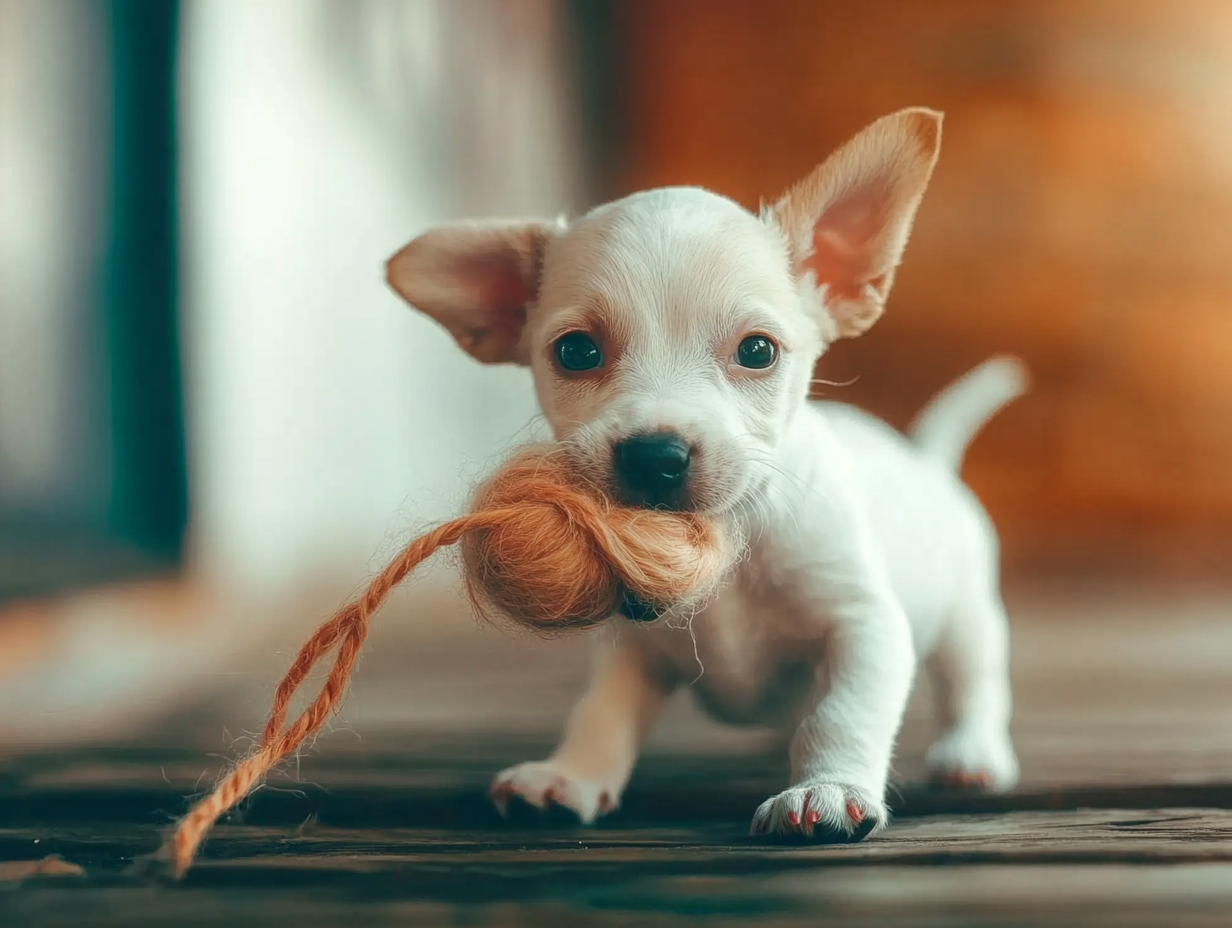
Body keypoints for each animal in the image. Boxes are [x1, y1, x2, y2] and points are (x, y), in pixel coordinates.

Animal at [389, 108, 1025, 838]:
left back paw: (972, 753)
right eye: (575, 352)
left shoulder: (865, 626)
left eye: (758, 351)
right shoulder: (632, 654)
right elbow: (601, 715)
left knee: (974, 686)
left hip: (969, 620)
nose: (654, 455)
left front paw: (828, 787)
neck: (732, 550)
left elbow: (843, 714)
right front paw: (569, 774)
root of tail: (925, 458)